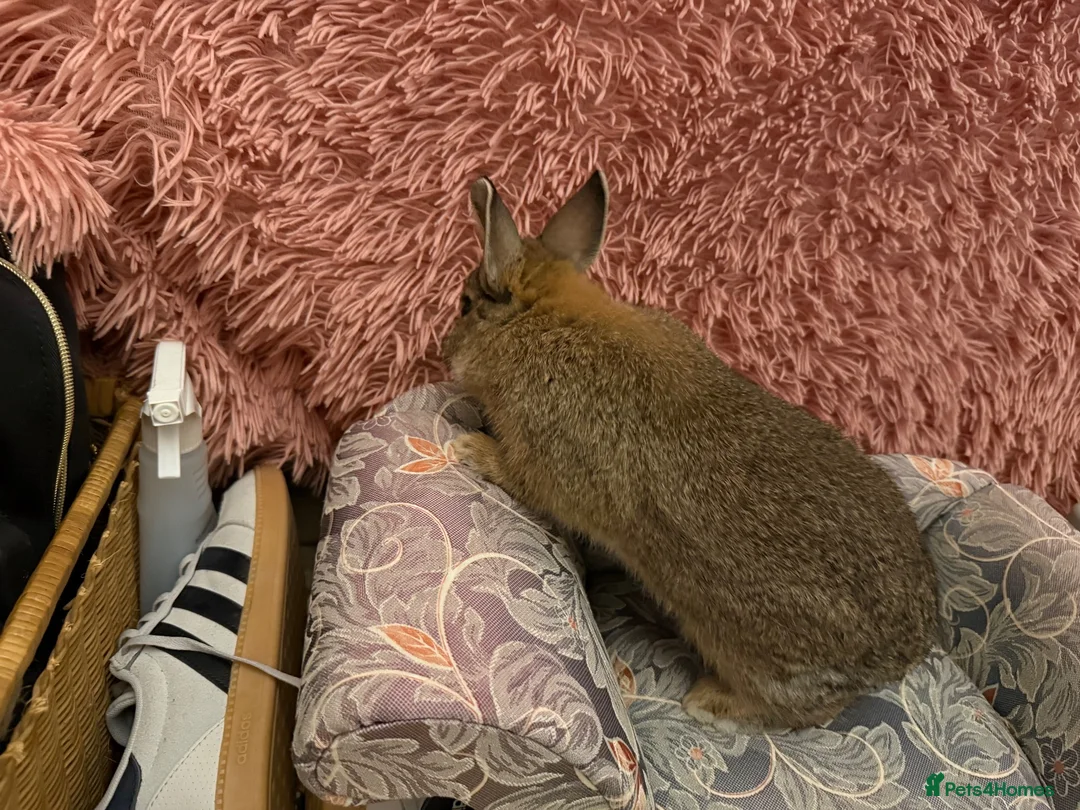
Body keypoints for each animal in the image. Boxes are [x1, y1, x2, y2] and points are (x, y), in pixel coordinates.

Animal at [441, 169, 939, 732]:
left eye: (464, 305)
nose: (444, 348)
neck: (543, 323)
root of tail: (904, 653)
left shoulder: (545, 463)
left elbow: (518, 475)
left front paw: (469, 448)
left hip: (754, 653)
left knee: (801, 710)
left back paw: (708, 703)